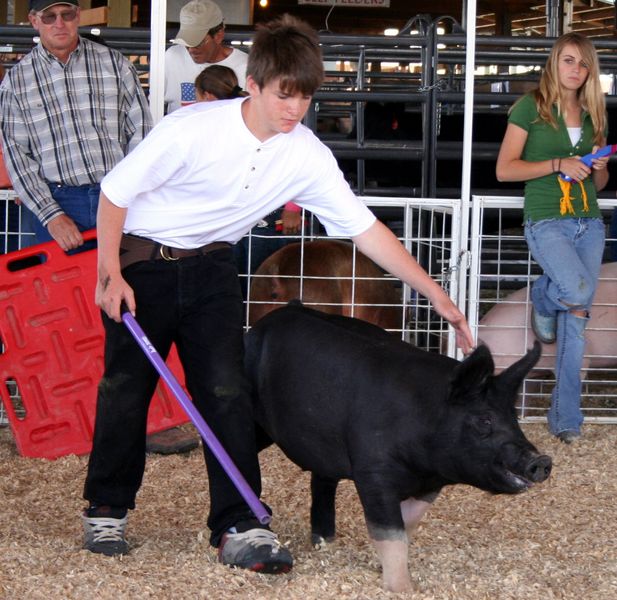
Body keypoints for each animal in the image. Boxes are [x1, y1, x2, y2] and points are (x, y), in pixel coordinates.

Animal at [243, 302, 552, 592]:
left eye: (513, 416)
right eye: (484, 419)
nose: (542, 461)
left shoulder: (430, 484)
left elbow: (408, 526)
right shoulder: (372, 471)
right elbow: (389, 533)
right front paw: (402, 589)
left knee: (322, 481)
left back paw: (325, 542)